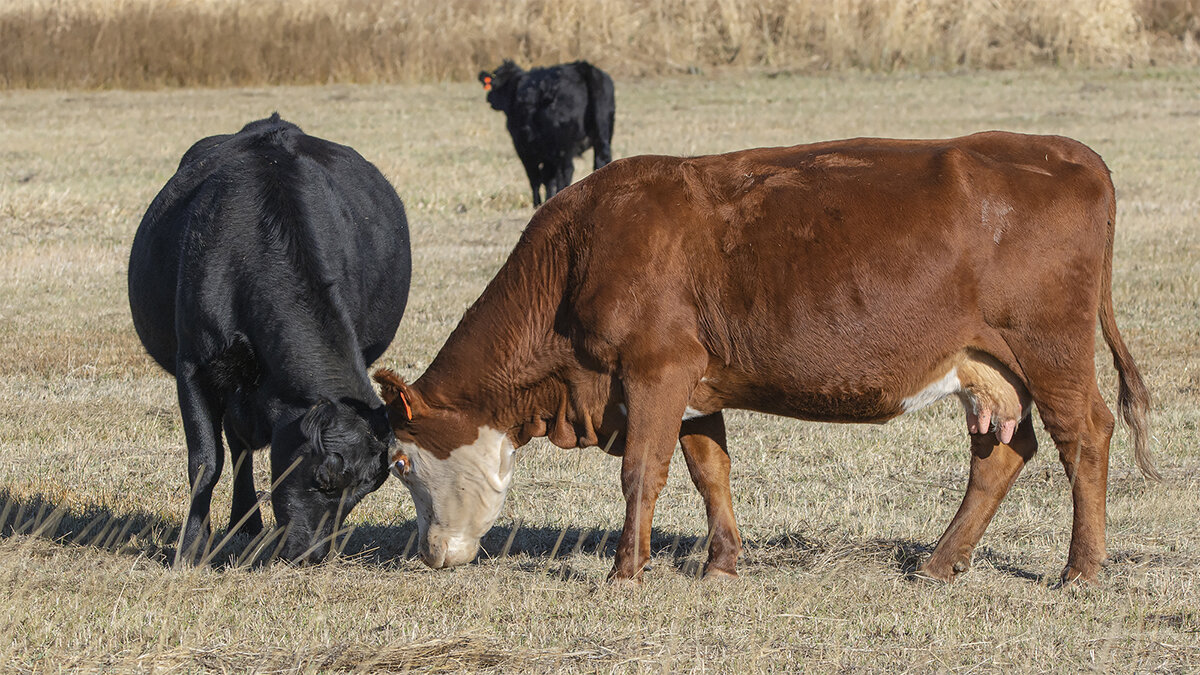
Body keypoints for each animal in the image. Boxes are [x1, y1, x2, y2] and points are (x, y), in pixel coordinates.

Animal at [129, 114, 412, 562]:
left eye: (362, 494)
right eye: (324, 477)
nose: (312, 554)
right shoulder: (193, 366)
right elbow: (205, 462)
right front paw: (190, 549)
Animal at [372, 131, 1152, 583]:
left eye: (401, 462)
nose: (426, 555)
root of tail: (1067, 150)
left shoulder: (654, 367)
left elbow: (641, 472)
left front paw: (626, 571)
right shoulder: (692, 382)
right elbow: (707, 469)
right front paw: (721, 562)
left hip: (1050, 348)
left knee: (1085, 436)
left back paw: (1081, 570)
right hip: (988, 365)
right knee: (1001, 453)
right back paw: (939, 562)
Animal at [475, 59, 614, 206]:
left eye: (494, 85)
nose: (489, 98)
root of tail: (582, 67)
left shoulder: (524, 149)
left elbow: (535, 177)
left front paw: (537, 203)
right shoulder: (547, 152)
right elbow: (548, 178)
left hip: (564, 146)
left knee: (566, 170)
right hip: (602, 137)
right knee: (601, 162)